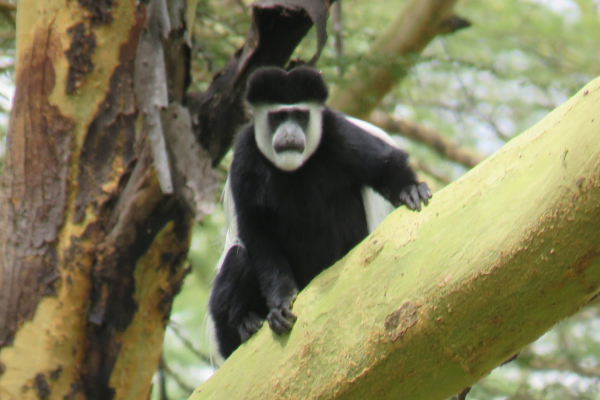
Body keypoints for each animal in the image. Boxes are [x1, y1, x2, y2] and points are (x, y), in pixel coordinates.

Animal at [207, 66, 432, 362]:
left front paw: (411, 190)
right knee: (238, 256)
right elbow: (255, 231)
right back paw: (247, 323)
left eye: (301, 116)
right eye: (277, 117)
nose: (289, 134)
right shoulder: (245, 155)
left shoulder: (336, 132)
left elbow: (383, 164)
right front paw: (280, 303)